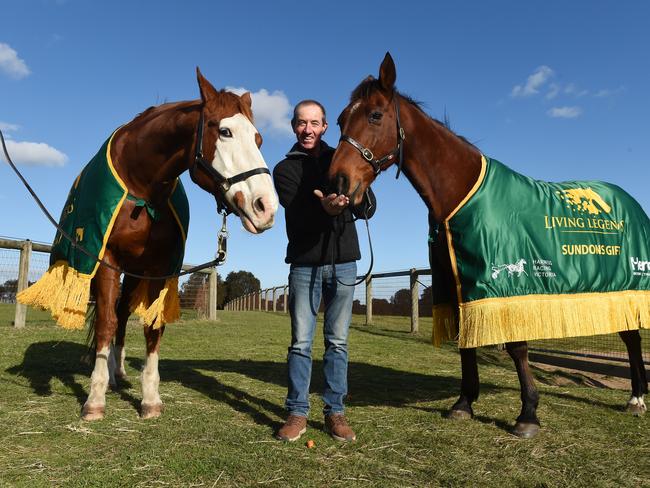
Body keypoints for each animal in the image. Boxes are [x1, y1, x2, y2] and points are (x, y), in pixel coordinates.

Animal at [29, 69, 276, 420]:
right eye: (225, 131)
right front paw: (94, 399)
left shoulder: (160, 267)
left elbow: (151, 327)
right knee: (113, 316)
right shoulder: (105, 259)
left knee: (122, 312)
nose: (266, 207)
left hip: (136, 273)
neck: (142, 188)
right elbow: (105, 323)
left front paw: (149, 398)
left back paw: (118, 373)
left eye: (258, 139)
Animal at [326, 53, 644, 438]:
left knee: (632, 338)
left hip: (629, 282)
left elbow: (517, 347)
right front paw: (464, 403)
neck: (462, 196)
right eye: (341, 119)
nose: (339, 181)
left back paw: (636, 399)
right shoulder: (459, 284)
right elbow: (466, 344)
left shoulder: (506, 286)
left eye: (374, 115)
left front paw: (528, 414)